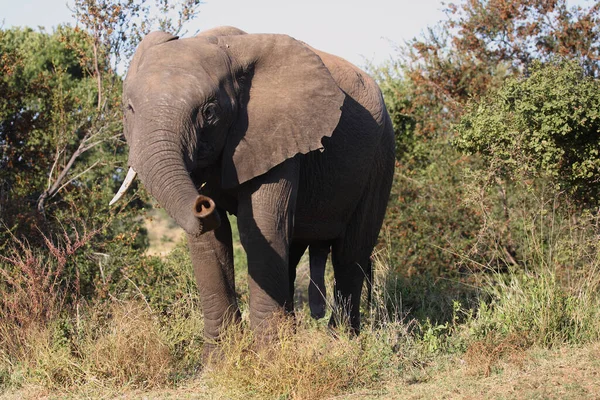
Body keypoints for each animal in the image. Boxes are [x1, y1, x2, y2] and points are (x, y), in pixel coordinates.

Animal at [110, 25, 396, 354]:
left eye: (209, 112)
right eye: (129, 109)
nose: (203, 203)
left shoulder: (279, 133)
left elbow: (260, 226)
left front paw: (268, 356)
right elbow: (211, 239)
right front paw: (219, 357)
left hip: (381, 157)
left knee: (351, 252)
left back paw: (341, 345)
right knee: (294, 251)